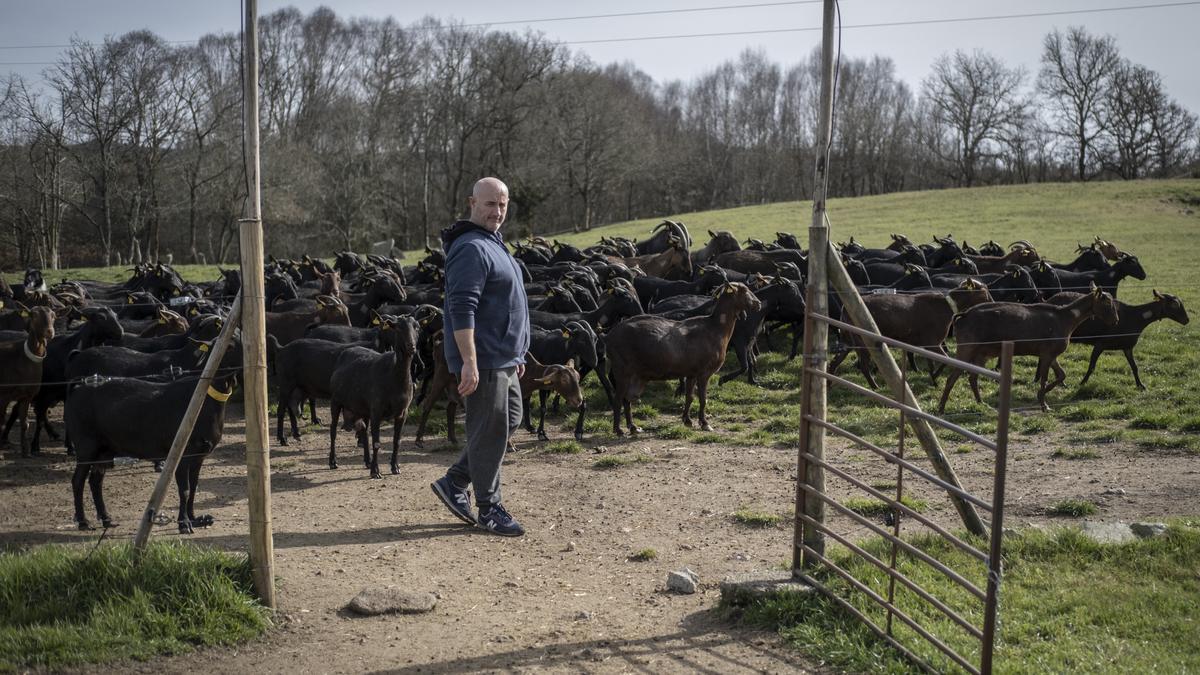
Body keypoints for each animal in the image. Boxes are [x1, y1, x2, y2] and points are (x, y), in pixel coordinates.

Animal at [0, 306, 55, 456]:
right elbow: (0, 422)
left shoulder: (27, 396)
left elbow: (25, 423)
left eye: (54, 315)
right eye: (34, 315)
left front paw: (26, 452)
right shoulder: (4, 395)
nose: (50, 331)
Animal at [604, 279, 763, 429]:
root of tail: (609, 337)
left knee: (627, 399)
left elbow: (690, 397)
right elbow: (703, 398)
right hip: (622, 371)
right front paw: (705, 423)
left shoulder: (691, 373)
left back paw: (633, 427)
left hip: (634, 376)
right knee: (619, 400)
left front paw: (687, 420)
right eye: (745, 290)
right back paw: (618, 429)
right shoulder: (704, 372)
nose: (758, 303)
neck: (715, 328)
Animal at [931, 282, 1118, 413]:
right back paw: (941, 408)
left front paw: (1041, 397)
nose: (1115, 321)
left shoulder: (1050, 355)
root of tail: (964, 315)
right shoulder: (1047, 353)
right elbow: (1044, 379)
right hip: (967, 348)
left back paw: (981, 403)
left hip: (982, 353)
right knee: (953, 377)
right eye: (1107, 303)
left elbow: (1061, 375)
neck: (1066, 318)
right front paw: (1044, 405)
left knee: (973, 377)